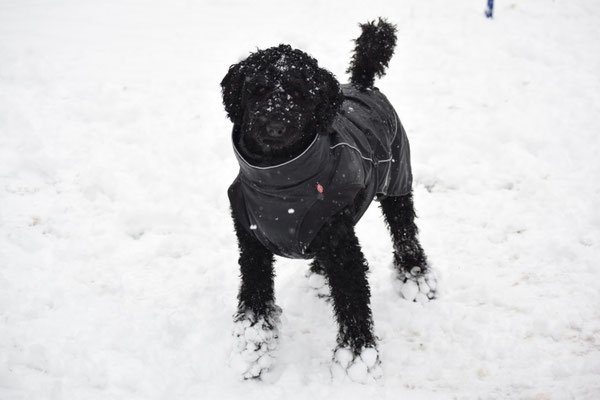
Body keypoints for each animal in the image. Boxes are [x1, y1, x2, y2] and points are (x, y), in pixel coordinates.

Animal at [220, 19, 436, 382]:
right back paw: (321, 274)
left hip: (396, 180)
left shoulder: (341, 245)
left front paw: (357, 355)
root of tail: (363, 83)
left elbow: (352, 298)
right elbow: (254, 295)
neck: (281, 184)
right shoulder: (251, 243)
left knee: (405, 230)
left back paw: (416, 277)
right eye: (258, 89)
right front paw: (253, 349)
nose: (275, 124)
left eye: (297, 92)